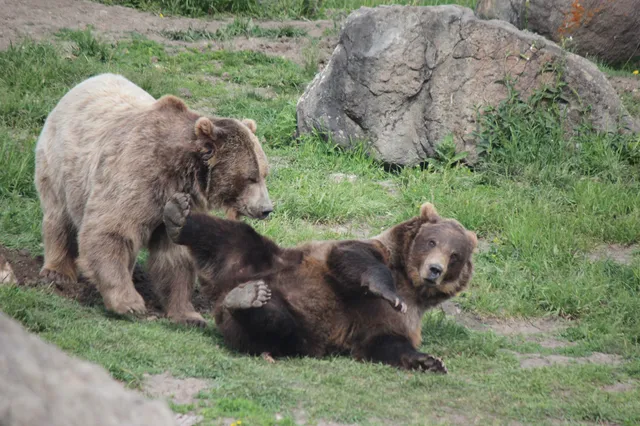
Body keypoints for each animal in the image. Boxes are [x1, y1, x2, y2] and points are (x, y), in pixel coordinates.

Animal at [34, 73, 273, 326]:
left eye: (264, 174)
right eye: (251, 177)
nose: (267, 208)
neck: (182, 173)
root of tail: (87, 81)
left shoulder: (178, 200)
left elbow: (175, 256)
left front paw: (188, 314)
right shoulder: (137, 174)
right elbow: (109, 229)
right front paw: (129, 303)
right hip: (60, 163)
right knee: (59, 216)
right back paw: (57, 271)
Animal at [162, 193, 477, 373]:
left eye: (455, 255)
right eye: (432, 241)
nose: (435, 269)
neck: (411, 286)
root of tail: (222, 287)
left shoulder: (402, 320)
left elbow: (385, 343)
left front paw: (430, 361)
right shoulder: (367, 253)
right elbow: (351, 258)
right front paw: (386, 290)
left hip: (300, 326)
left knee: (275, 324)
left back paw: (246, 298)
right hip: (259, 256)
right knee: (228, 233)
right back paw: (178, 215)